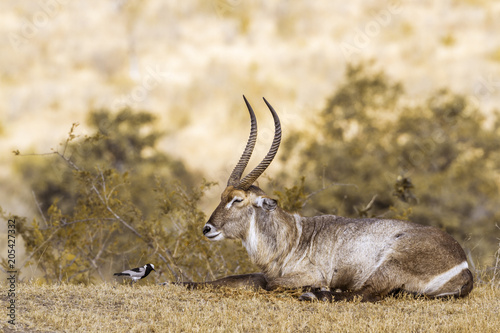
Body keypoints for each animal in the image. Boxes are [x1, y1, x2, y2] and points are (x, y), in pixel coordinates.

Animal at [185, 96, 472, 300]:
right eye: (222, 196)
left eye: (237, 199)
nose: (207, 228)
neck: (293, 236)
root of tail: (464, 264)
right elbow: (236, 278)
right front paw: (182, 282)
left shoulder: (307, 273)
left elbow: (267, 282)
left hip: (391, 264)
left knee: (364, 295)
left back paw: (315, 294)